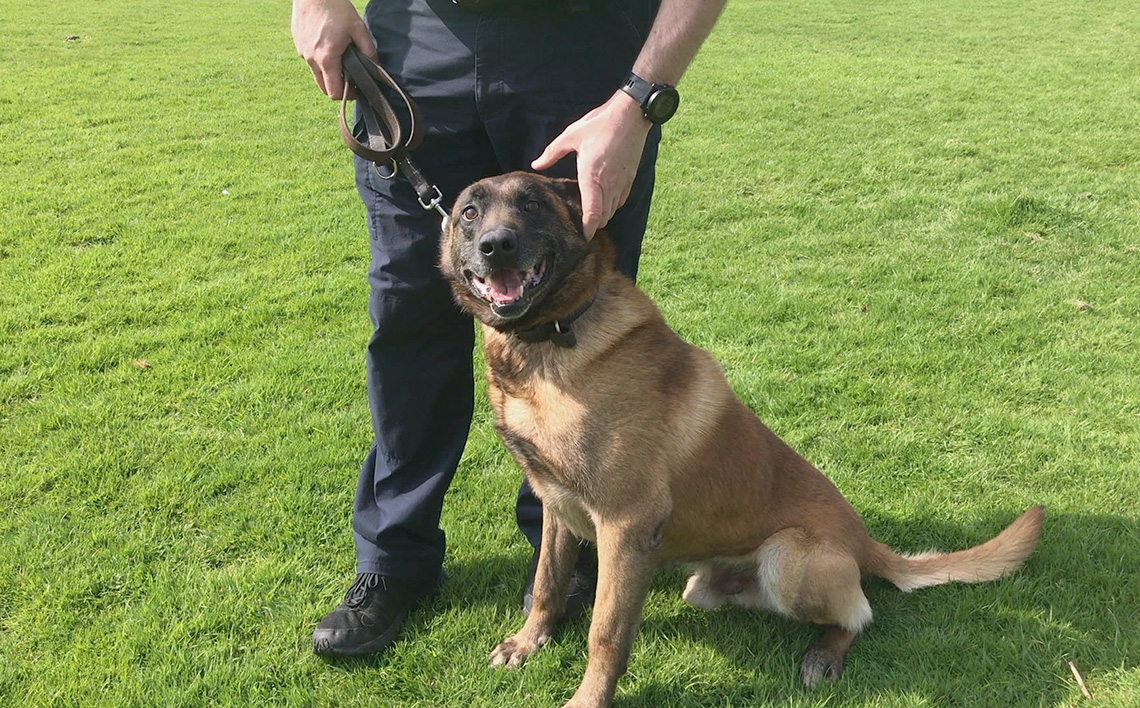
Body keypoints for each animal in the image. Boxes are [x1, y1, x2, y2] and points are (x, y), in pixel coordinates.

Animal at [440, 172, 1044, 706]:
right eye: (469, 212)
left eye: (533, 205)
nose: (497, 246)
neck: (550, 341)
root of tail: (865, 540)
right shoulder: (557, 507)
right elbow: (547, 584)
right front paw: (527, 643)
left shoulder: (625, 524)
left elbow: (605, 633)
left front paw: (588, 700)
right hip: (705, 585)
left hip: (788, 559)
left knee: (860, 613)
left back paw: (826, 653)